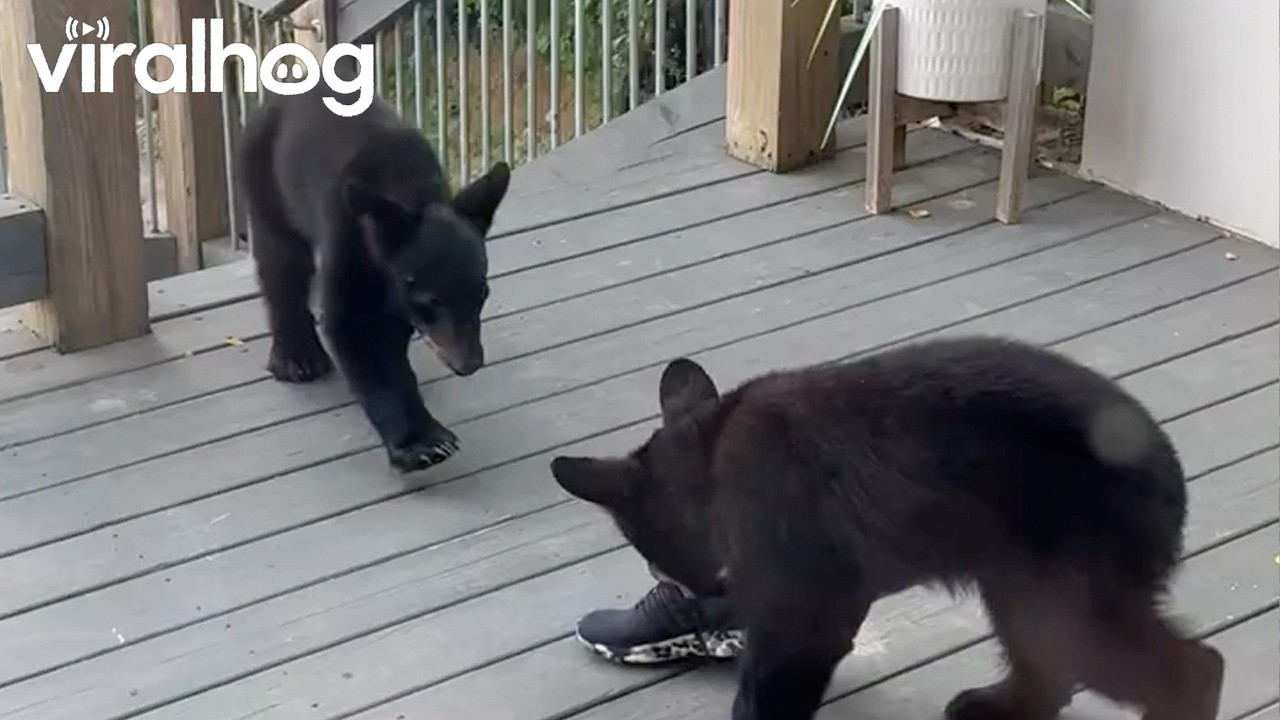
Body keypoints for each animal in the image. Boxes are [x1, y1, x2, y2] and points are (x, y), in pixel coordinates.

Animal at [237, 69, 510, 474]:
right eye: (432, 298)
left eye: (483, 294)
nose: (469, 363)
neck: (409, 187)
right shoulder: (347, 236)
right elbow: (355, 332)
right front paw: (418, 445)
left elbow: (391, 339)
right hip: (267, 182)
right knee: (281, 267)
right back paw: (297, 358)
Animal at [550, 336, 1224, 720]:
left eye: (651, 558)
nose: (704, 590)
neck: (712, 459)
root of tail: (1166, 464)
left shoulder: (804, 607)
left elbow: (769, 689)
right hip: (1016, 579)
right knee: (1048, 667)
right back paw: (999, 705)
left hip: (1067, 590)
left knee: (1193, 669)